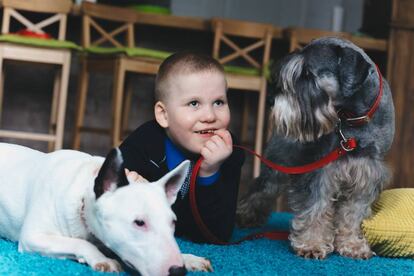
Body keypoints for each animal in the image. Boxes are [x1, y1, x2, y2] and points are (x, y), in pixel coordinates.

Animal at [236, 36, 394, 258]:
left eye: (308, 74)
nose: (270, 101)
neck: (354, 118)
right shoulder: (320, 171)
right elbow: (315, 208)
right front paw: (312, 244)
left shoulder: (366, 173)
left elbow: (353, 213)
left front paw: (352, 244)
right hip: (277, 163)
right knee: (261, 189)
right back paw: (245, 216)